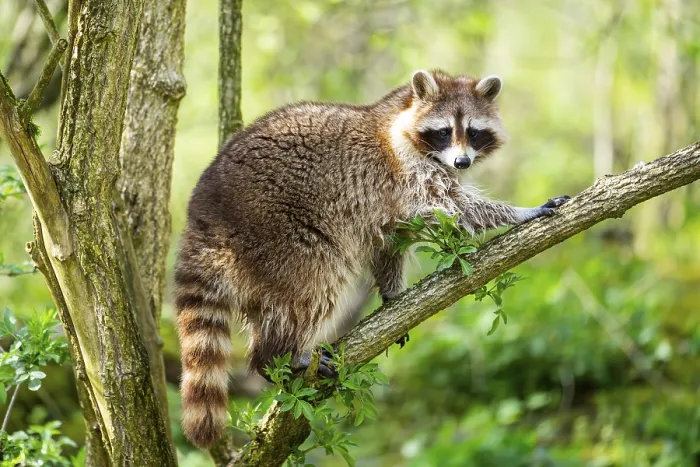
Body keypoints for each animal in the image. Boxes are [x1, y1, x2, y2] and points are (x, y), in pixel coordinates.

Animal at [175, 69, 568, 448]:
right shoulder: (404, 172)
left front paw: (392, 292)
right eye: (443, 132)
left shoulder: (388, 198)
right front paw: (518, 212)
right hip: (275, 230)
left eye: (473, 132)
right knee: (313, 284)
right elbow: (451, 207)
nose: (462, 161)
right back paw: (279, 354)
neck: (401, 111)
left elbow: (392, 240)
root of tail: (203, 220)